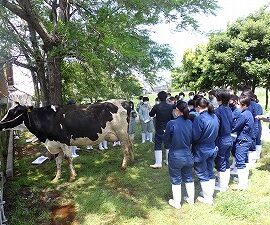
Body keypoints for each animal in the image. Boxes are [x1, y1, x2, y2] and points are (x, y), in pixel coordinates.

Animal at [0, 100, 134, 181]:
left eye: (14, 112)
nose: (0, 123)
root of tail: (124, 101)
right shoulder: (56, 144)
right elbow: (58, 162)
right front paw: (56, 178)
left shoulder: (64, 142)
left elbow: (68, 158)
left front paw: (73, 176)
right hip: (125, 133)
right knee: (131, 144)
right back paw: (132, 161)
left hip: (121, 132)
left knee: (125, 148)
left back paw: (123, 166)